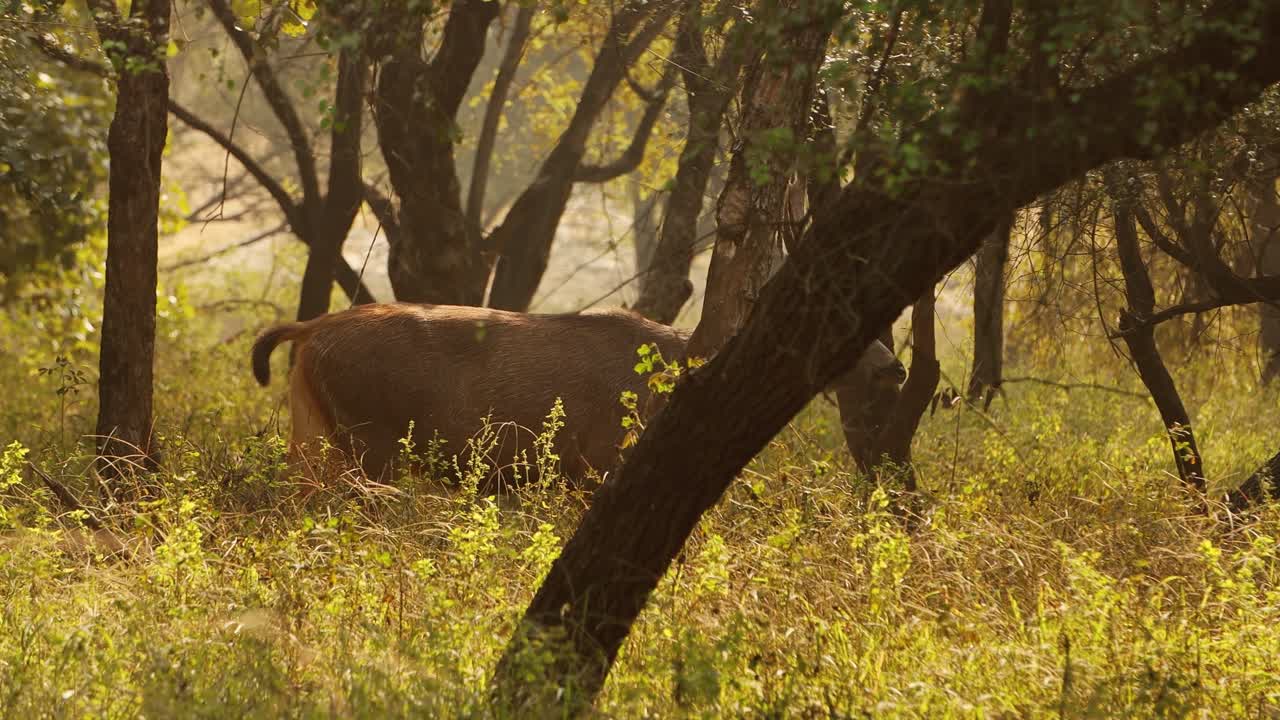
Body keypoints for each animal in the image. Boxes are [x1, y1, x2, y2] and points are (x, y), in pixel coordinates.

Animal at [252, 302, 906, 490]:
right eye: (843, 325)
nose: (894, 368)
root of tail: (308, 331)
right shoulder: (599, 466)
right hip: (371, 443)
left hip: (311, 430)